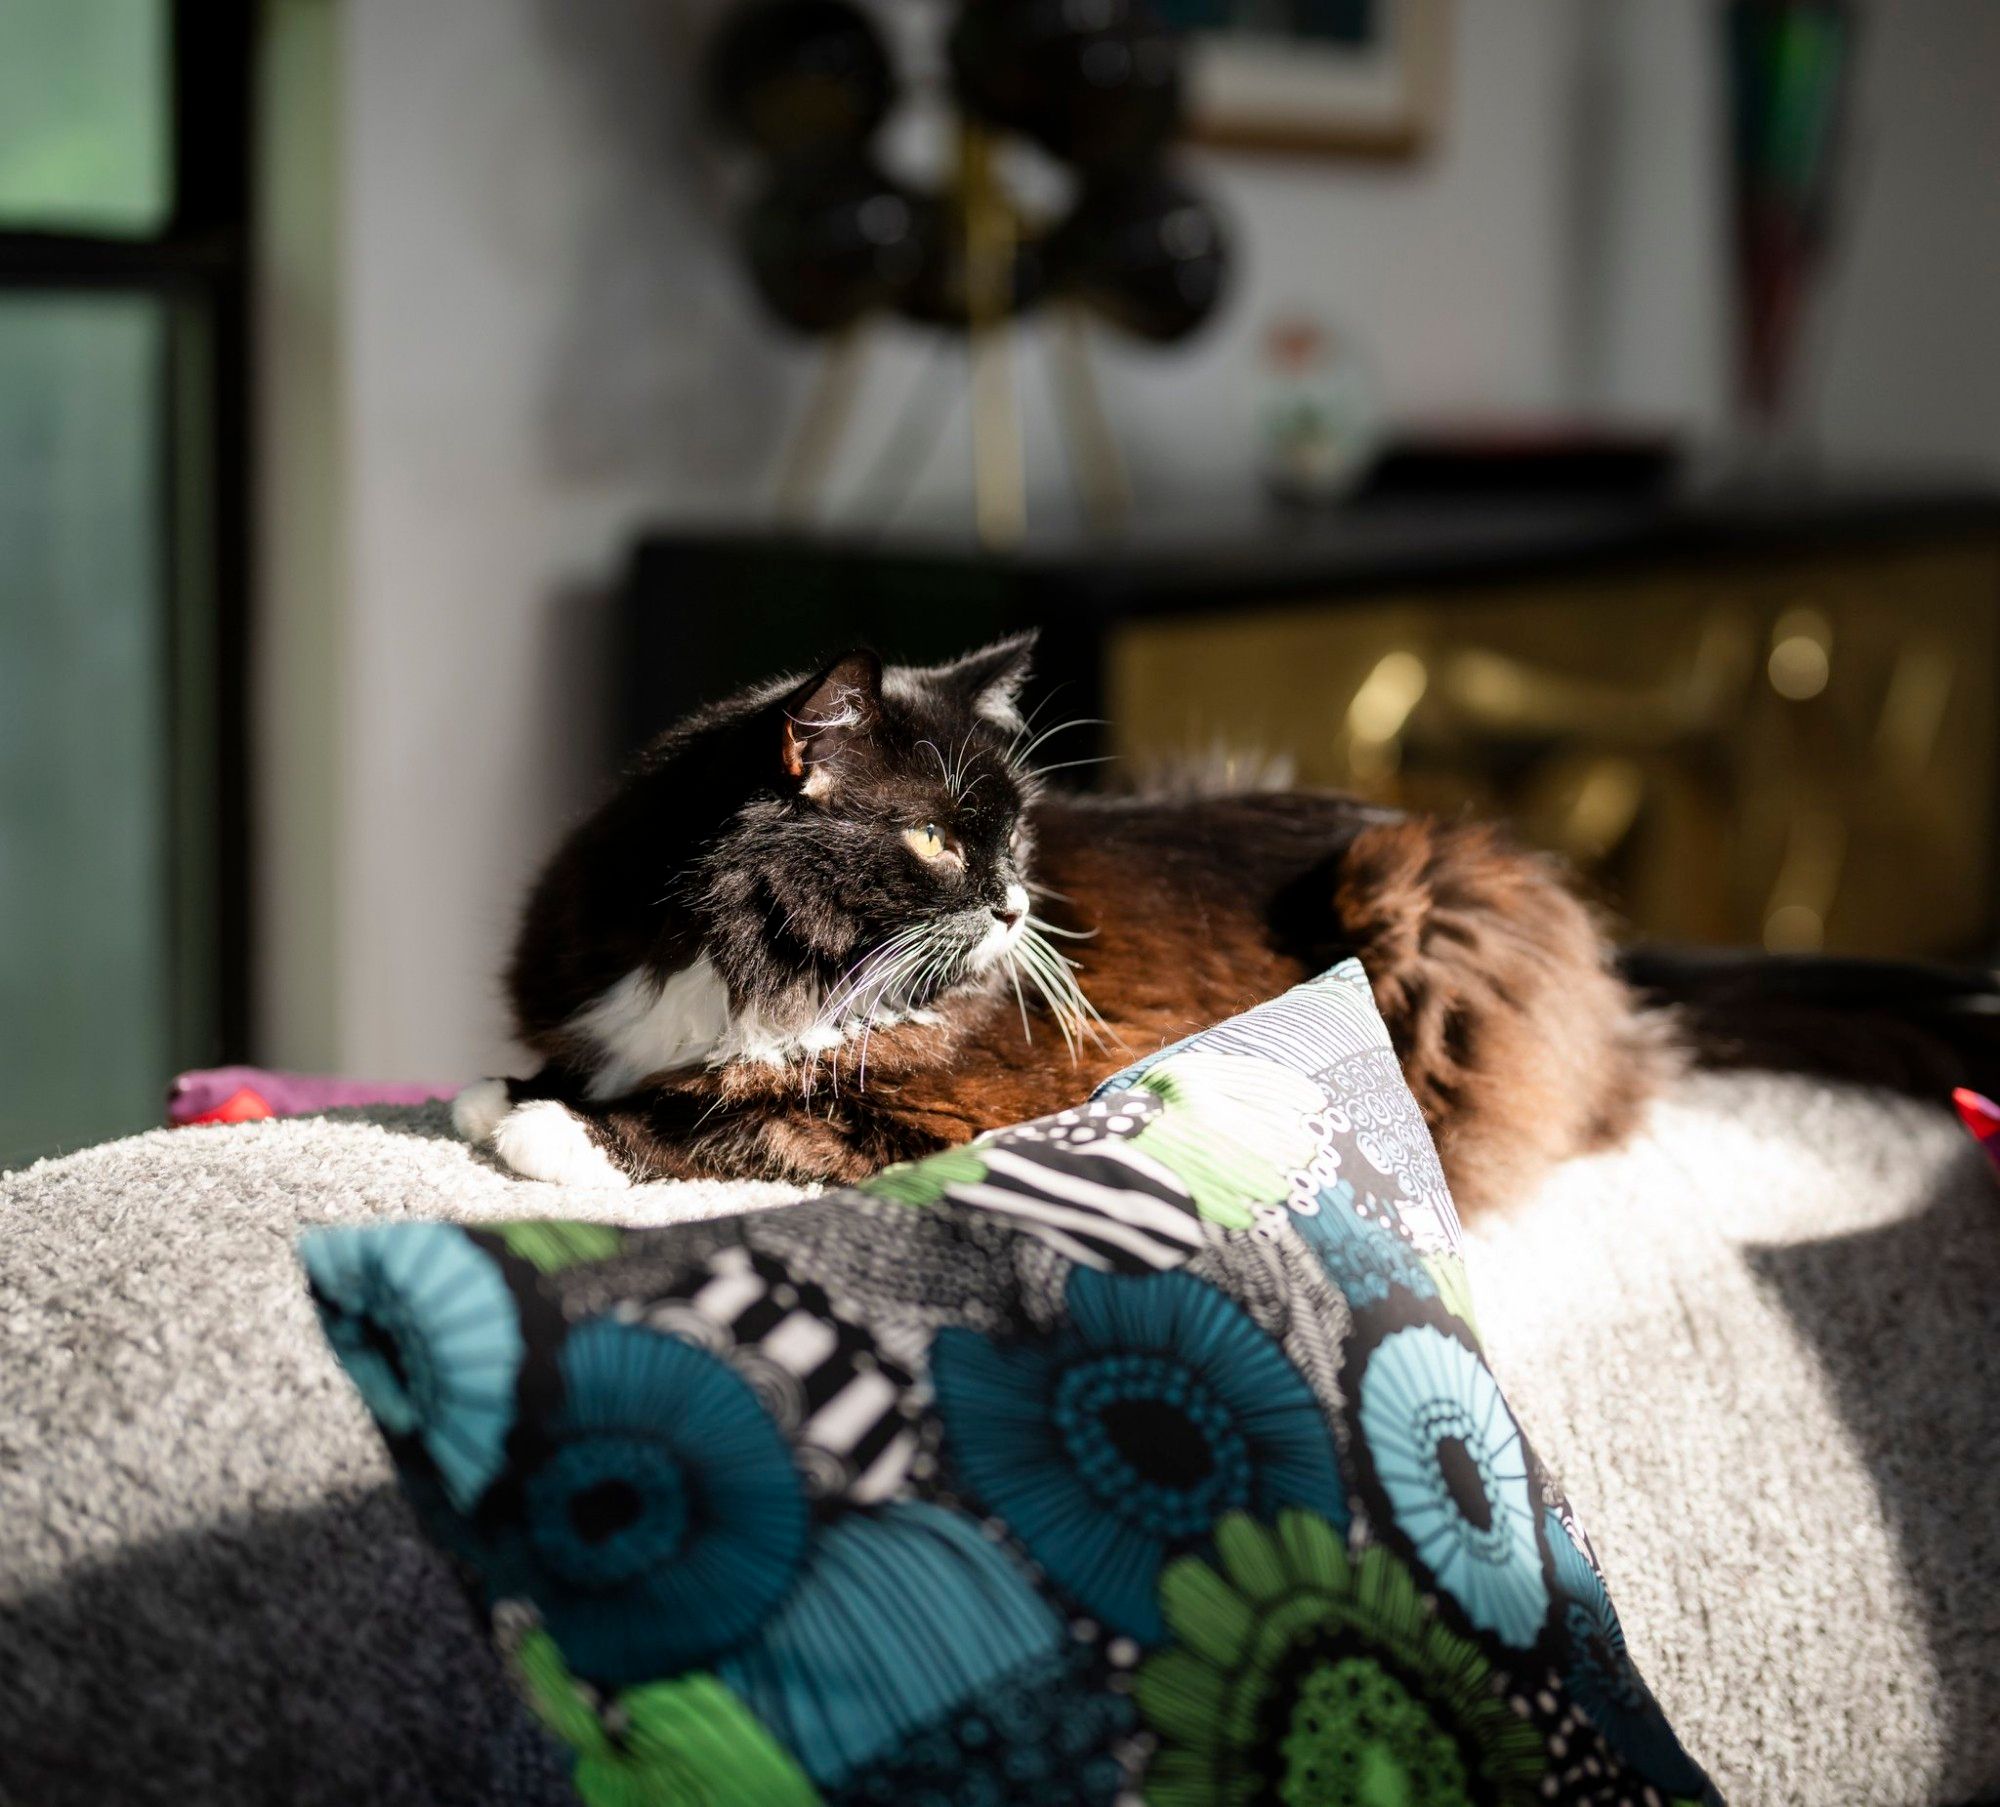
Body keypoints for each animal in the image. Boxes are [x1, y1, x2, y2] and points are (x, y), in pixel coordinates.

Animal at [458, 631, 2000, 1215]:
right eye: (937, 837)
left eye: (1010, 837)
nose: (1016, 899)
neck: (732, 954)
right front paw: (505, 1088)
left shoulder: (952, 1101)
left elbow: (740, 1114)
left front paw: (549, 1130)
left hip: (1417, 906)